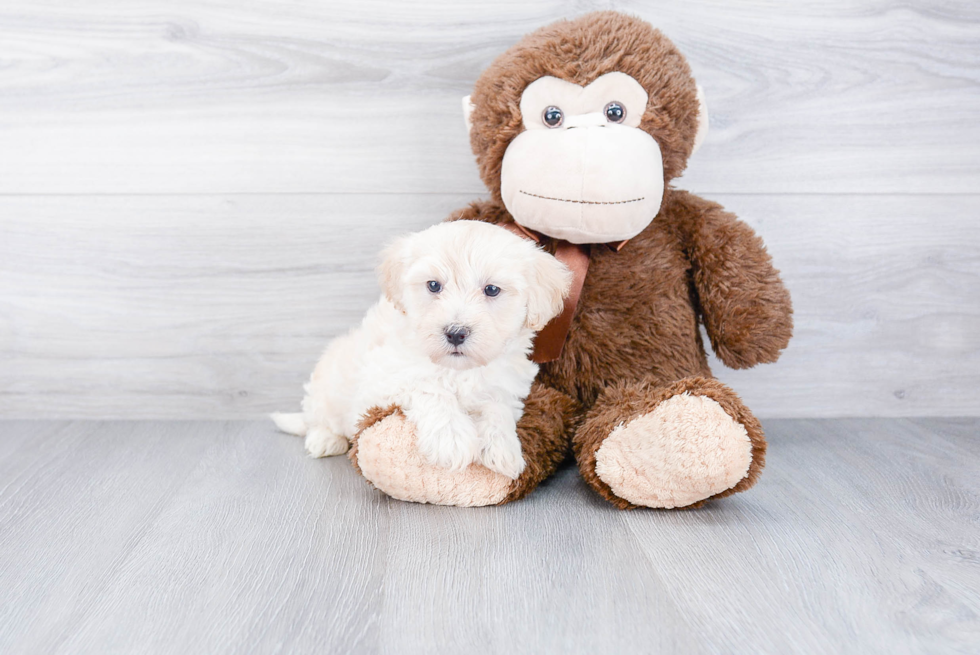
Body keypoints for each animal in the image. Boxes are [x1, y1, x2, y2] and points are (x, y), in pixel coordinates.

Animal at [272, 220, 572, 482]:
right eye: (433, 285)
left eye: (491, 290)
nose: (455, 332)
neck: (457, 370)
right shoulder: (382, 379)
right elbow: (429, 387)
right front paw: (452, 439)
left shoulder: (505, 384)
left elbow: (496, 406)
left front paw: (502, 448)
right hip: (327, 386)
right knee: (318, 418)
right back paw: (324, 439)